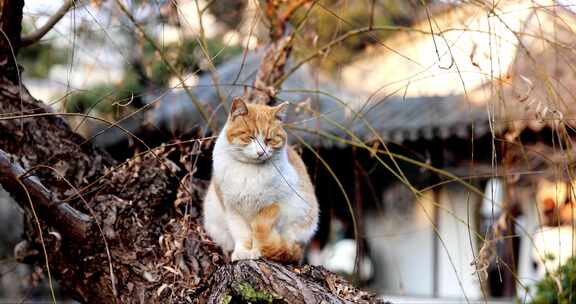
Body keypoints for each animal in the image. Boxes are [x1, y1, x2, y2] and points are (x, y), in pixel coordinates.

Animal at [204, 96, 320, 262]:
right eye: (250, 137)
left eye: (269, 140)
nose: (261, 152)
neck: (249, 171)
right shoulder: (232, 210)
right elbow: (242, 234)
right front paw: (242, 252)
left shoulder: (273, 206)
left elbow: (261, 237)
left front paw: (258, 251)